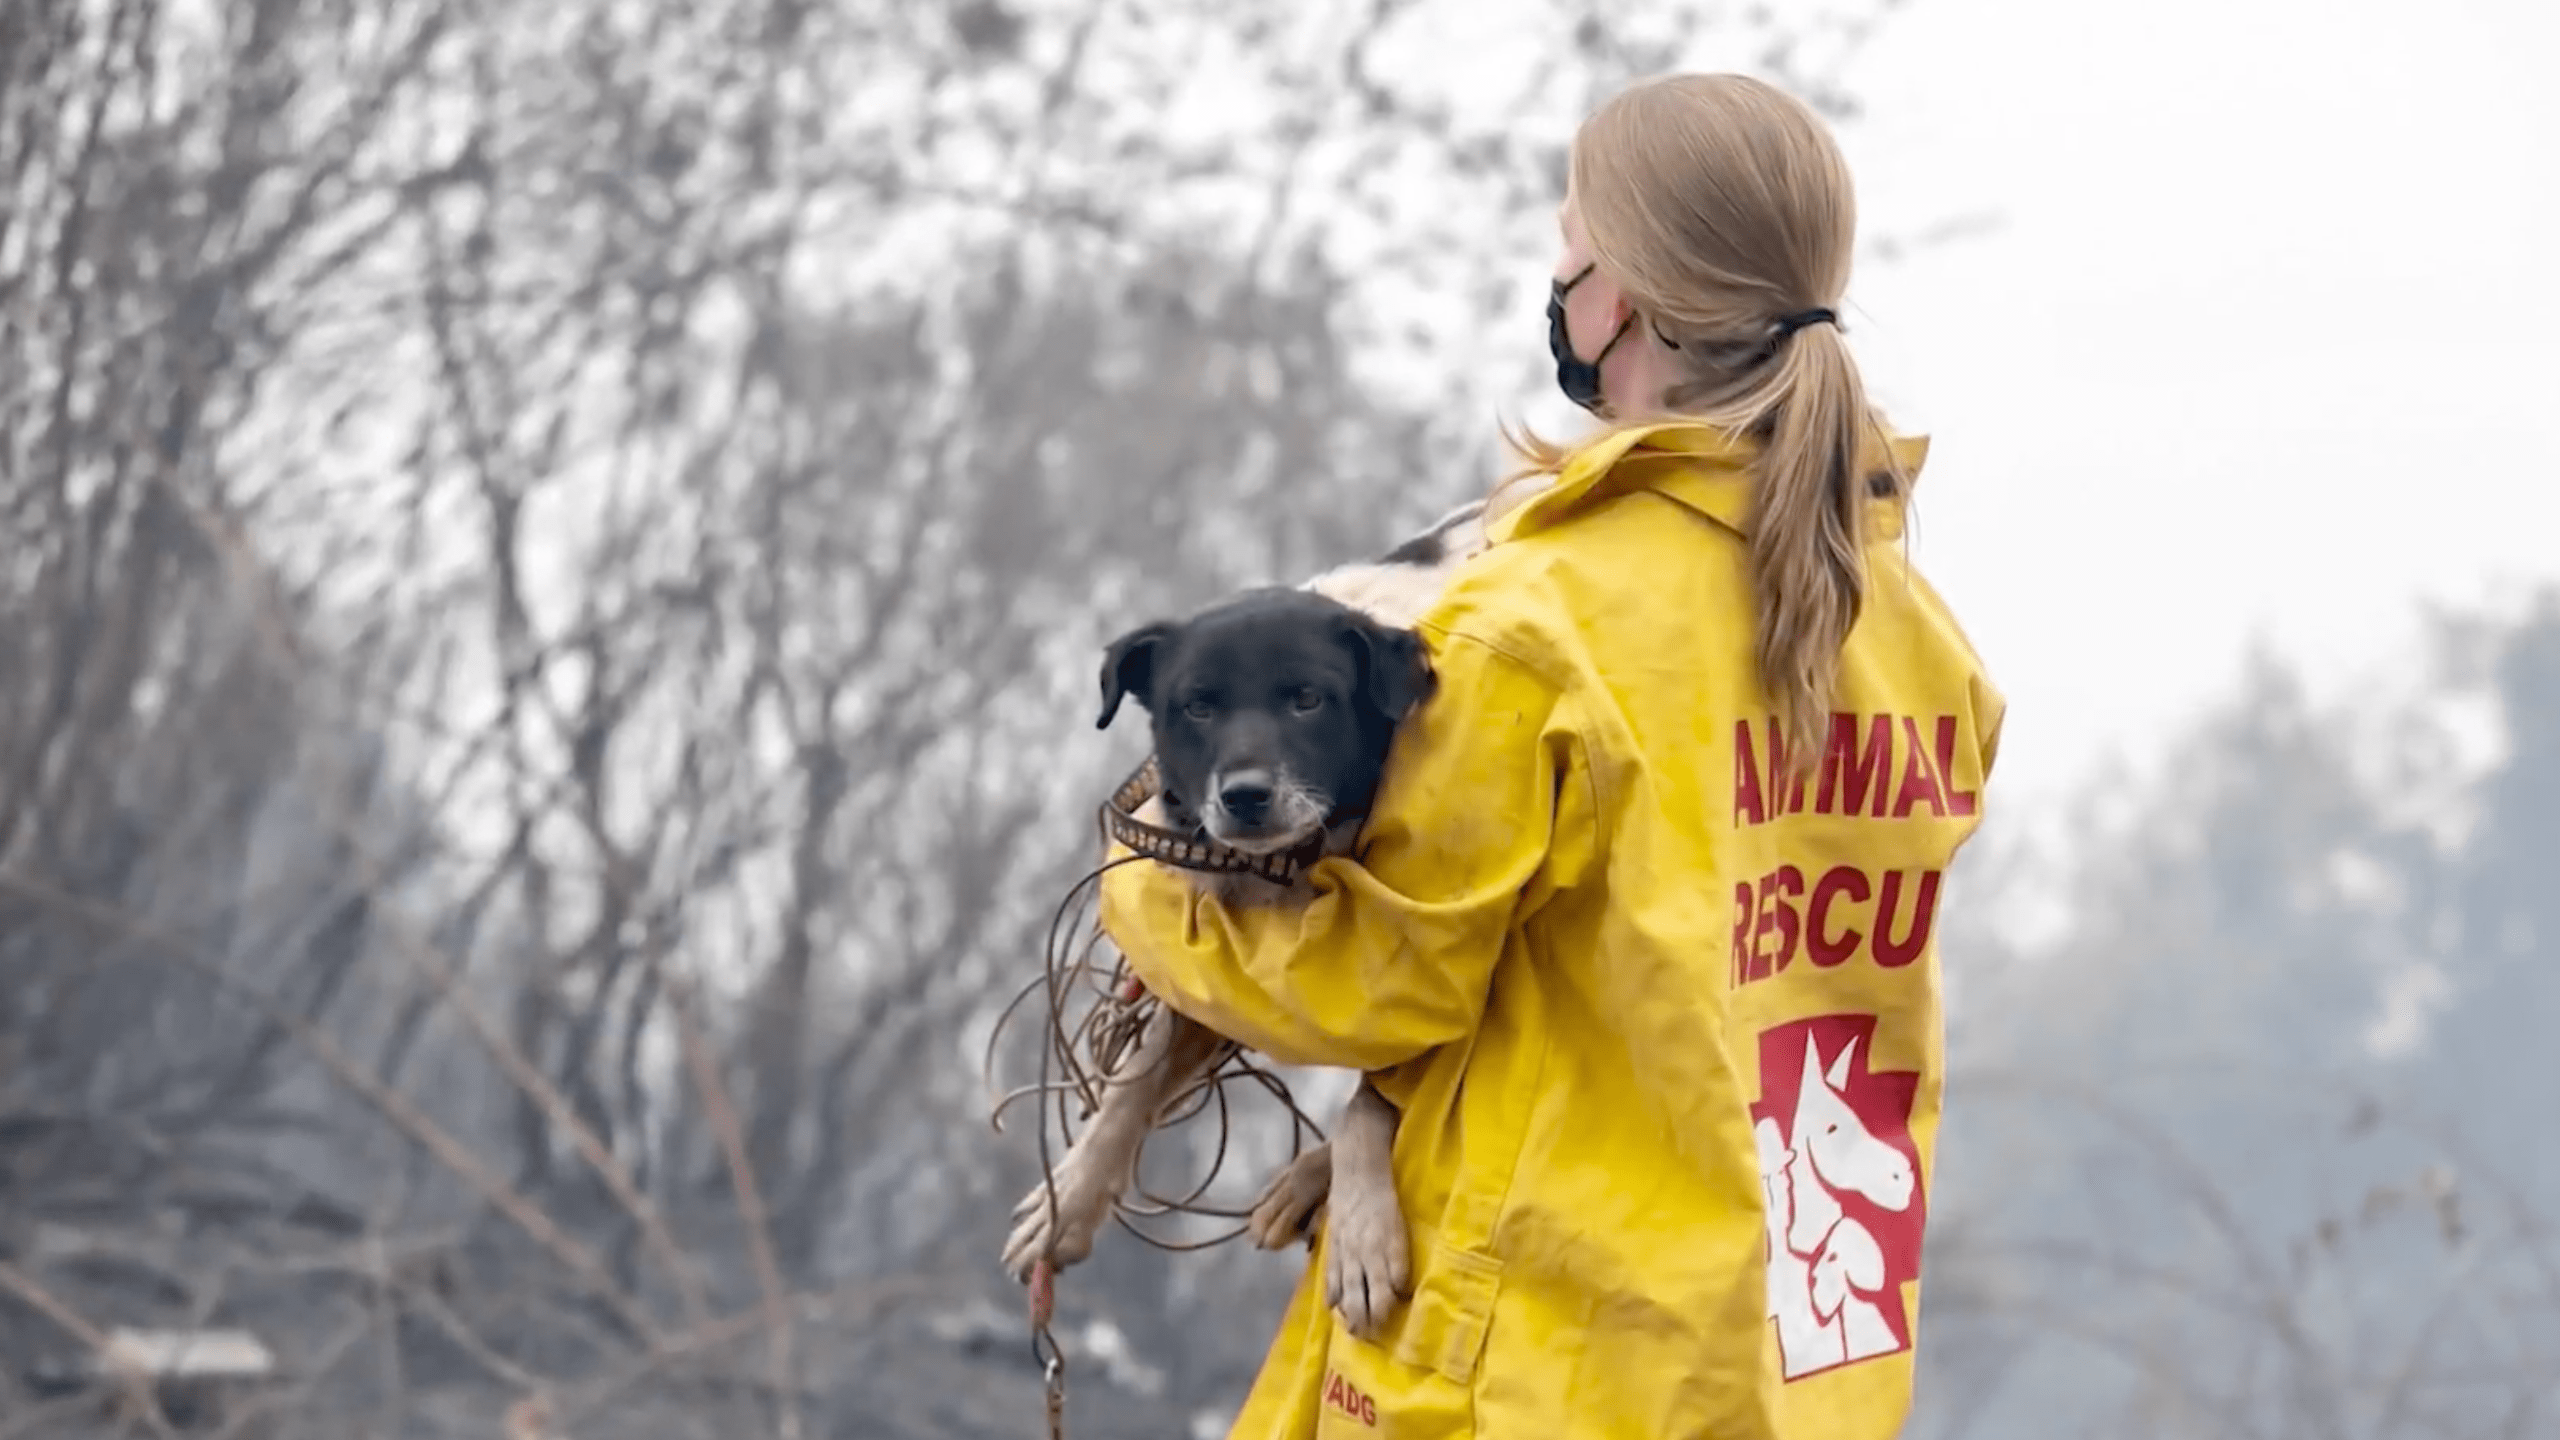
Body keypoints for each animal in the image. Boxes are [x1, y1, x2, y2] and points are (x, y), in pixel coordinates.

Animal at [1008, 489, 1495, 1332]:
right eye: (1196, 707)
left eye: (1308, 699)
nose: (1243, 796)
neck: (1300, 863)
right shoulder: (1220, 955)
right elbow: (1134, 1080)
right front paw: (1066, 1201)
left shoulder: (1435, 963)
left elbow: (1375, 1100)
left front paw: (1363, 1231)